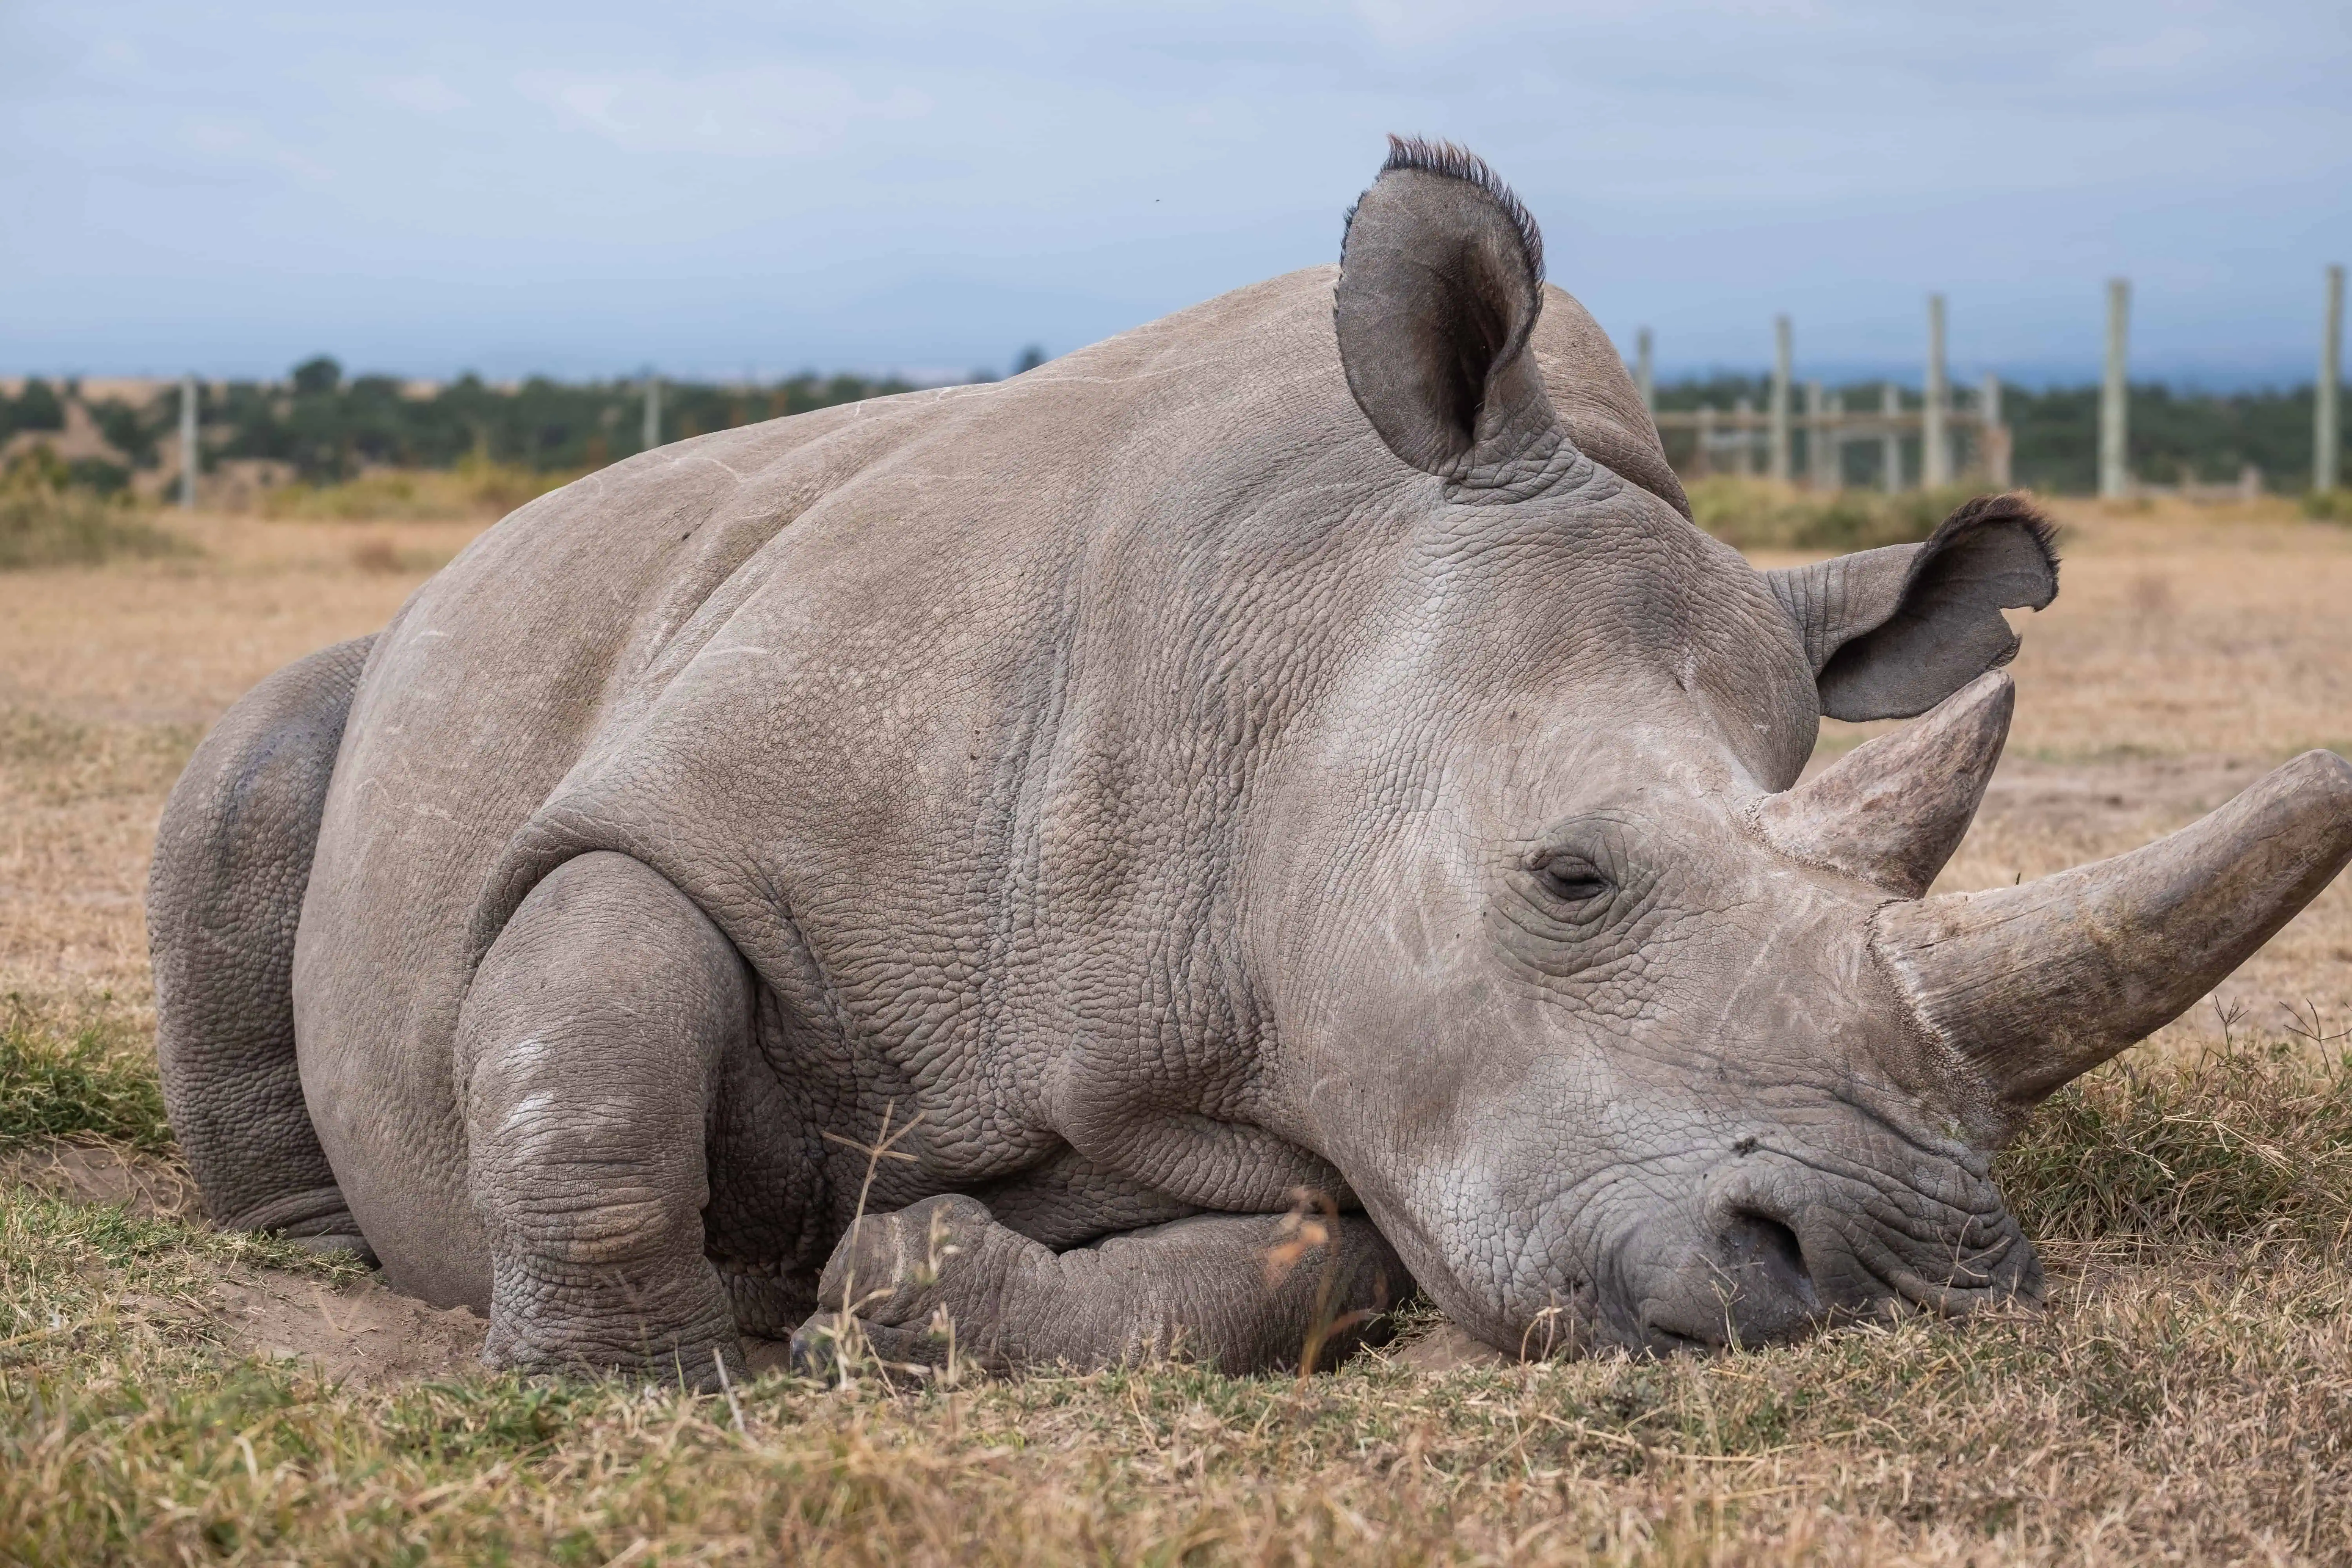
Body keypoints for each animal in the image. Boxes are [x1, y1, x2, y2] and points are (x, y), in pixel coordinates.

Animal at [148, 140, 2352, 1379]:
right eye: (1570, 875)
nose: (1906, 1282)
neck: (1303, 636)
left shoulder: (1362, 1060)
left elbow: (1309, 1265)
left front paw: (897, 1285)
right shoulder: (711, 806)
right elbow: (596, 996)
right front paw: (640, 1375)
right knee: (248, 778)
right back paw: (310, 1252)